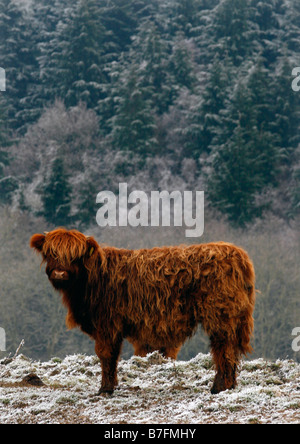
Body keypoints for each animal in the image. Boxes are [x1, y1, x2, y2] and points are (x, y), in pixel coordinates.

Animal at [30, 229, 255, 396]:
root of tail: (236, 253)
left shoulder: (107, 325)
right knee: (229, 349)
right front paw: (110, 386)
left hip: (221, 316)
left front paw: (105, 389)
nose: (60, 273)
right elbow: (112, 356)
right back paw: (228, 385)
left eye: (75, 256)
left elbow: (105, 355)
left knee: (223, 348)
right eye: (51, 253)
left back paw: (220, 387)